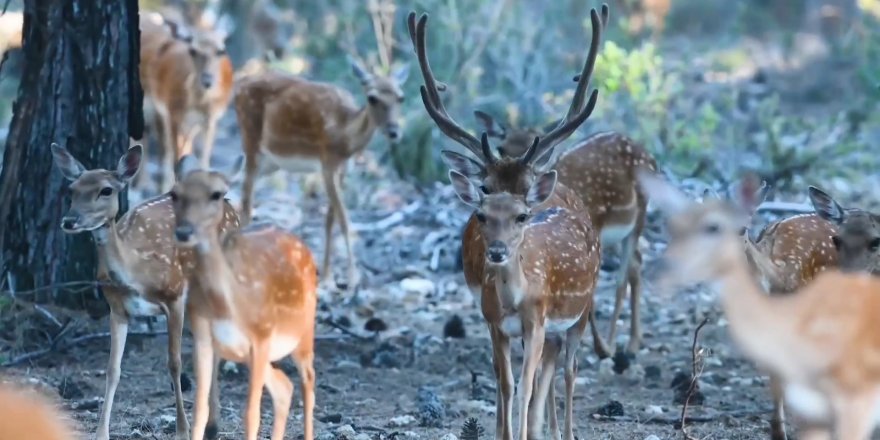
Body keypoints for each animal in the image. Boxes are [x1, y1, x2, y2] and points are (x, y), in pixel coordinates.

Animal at [51, 144, 237, 440]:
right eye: (72, 190)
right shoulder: (117, 309)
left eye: (106, 190)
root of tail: (230, 204)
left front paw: (182, 430)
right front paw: (101, 432)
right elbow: (112, 369)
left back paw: (211, 424)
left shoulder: (174, 296)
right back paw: (210, 424)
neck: (136, 270)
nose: (69, 220)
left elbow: (174, 363)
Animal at [139, 10, 234, 191]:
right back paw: (145, 183)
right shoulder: (172, 112)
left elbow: (203, 160)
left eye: (221, 51)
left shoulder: (211, 119)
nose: (207, 80)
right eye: (193, 51)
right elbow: (176, 157)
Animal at [170, 155, 318, 440]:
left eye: (217, 194)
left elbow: (251, 414)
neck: (227, 304)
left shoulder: (261, 336)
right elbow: (200, 411)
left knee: (308, 379)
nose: (183, 231)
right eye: (175, 194)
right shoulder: (202, 336)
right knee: (284, 387)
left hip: (303, 330)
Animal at [412, 5, 612, 438]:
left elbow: (526, 384)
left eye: (526, 198)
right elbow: (504, 382)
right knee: (545, 370)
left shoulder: (538, 321)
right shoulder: (493, 322)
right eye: (483, 192)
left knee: (568, 368)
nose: (499, 249)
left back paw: (564, 430)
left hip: (582, 307)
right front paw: (504, 430)